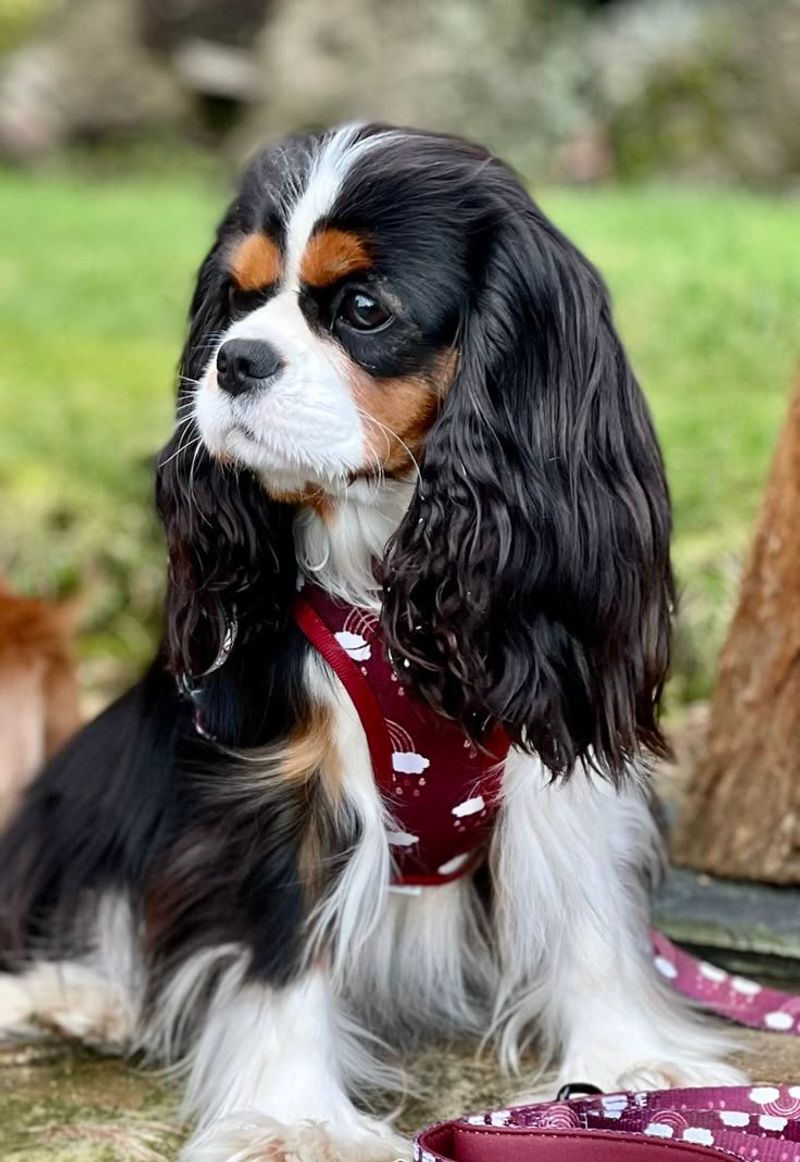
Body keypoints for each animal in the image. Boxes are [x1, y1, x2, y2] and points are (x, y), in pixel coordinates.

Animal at [0, 122, 744, 1157]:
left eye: (361, 308)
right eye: (239, 299)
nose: (233, 361)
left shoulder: (553, 734)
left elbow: (589, 909)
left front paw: (635, 1067)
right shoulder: (281, 776)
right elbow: (285, 942)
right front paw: (294, 1118)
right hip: (91, 773)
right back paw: (83, 996)